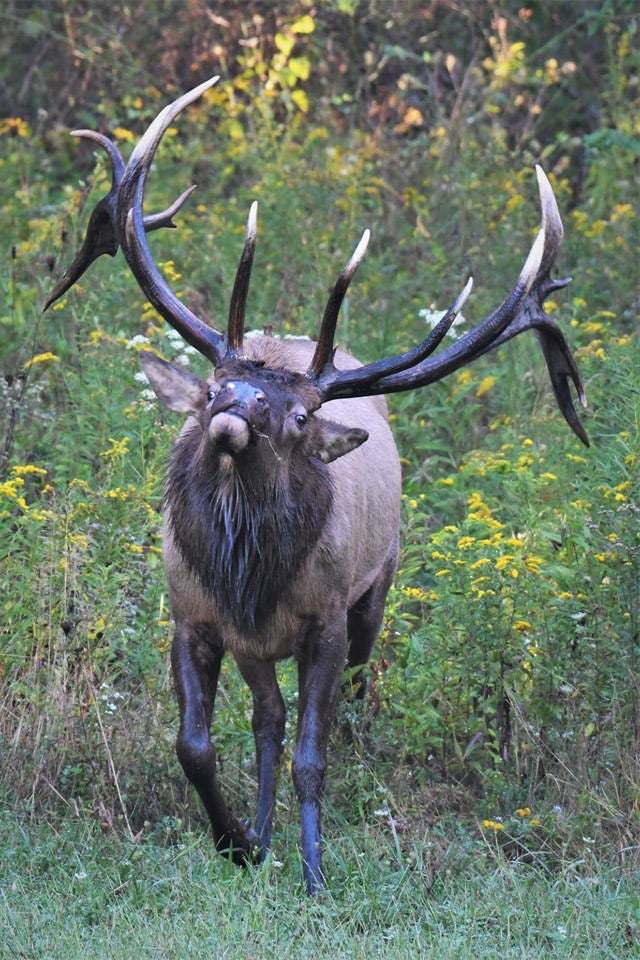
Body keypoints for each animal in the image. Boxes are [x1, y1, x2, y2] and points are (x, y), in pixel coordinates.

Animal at [45, 77, 588, 894]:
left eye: (300, 415)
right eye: (213, 387)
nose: (234, 413)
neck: (248, 576)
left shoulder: (326, 620)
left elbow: (313, 754)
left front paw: (312, 872)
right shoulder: (196, 616)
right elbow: (195, 744)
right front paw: (239, 842)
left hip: (374, 591)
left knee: (341, 694)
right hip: (256, 646)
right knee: (267, 716)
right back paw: (263, 831)